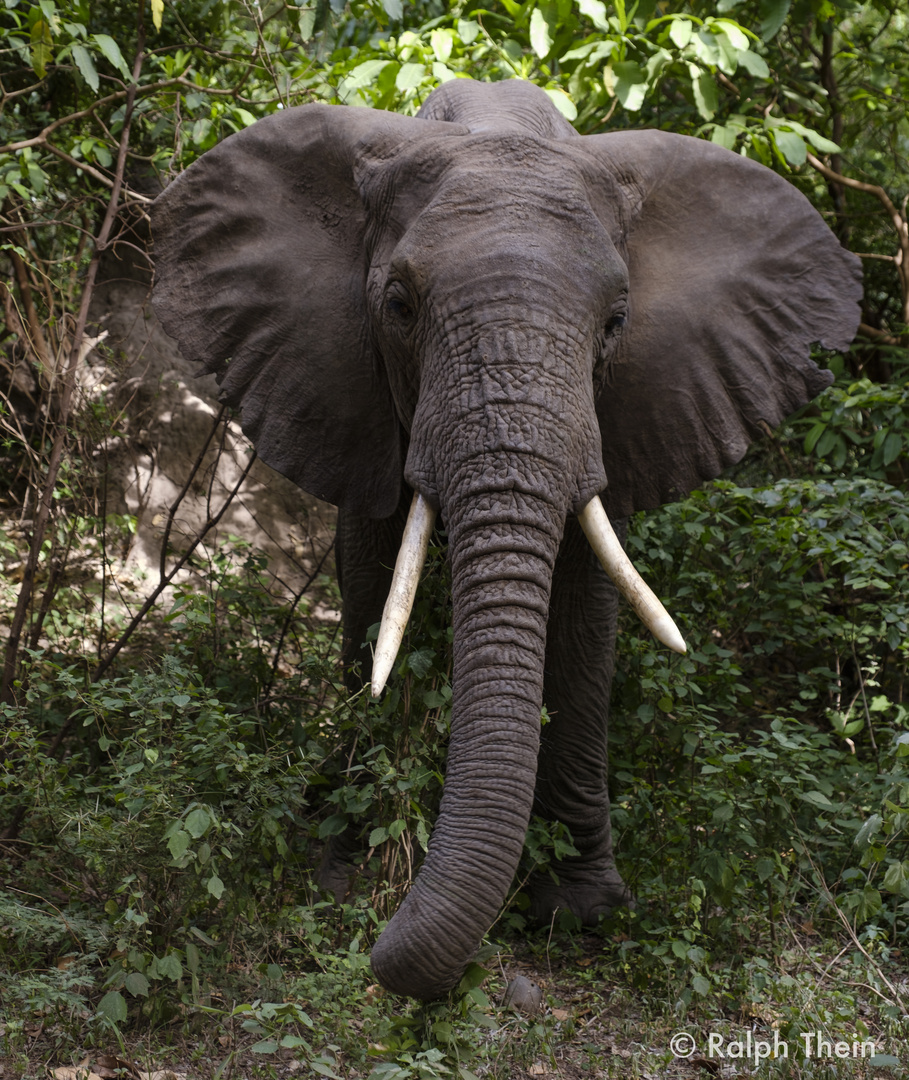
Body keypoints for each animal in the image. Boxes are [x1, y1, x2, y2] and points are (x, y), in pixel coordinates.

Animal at [148, 78, 859, 1002]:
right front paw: (343, 875)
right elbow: (372, 588)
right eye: (398, 307)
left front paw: (579, 914)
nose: (384, 950)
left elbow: (585, 610)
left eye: (616, 322)